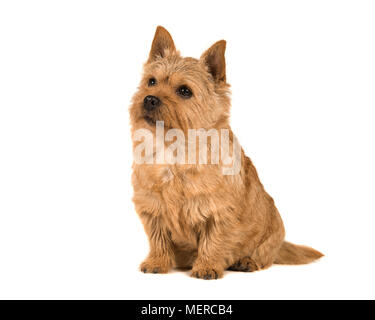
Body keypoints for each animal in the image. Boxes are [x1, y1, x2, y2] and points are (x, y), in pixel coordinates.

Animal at [130, 26, 324, 278]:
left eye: (184, 91)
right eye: (151, 81)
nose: (149, 99)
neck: (174, 149)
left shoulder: (219, 211)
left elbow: (213, 241)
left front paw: (206, 266)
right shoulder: (152, 208)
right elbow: (158, 239)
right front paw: (157, 262)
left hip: (273, 231)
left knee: (265, 254)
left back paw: (246, 261)